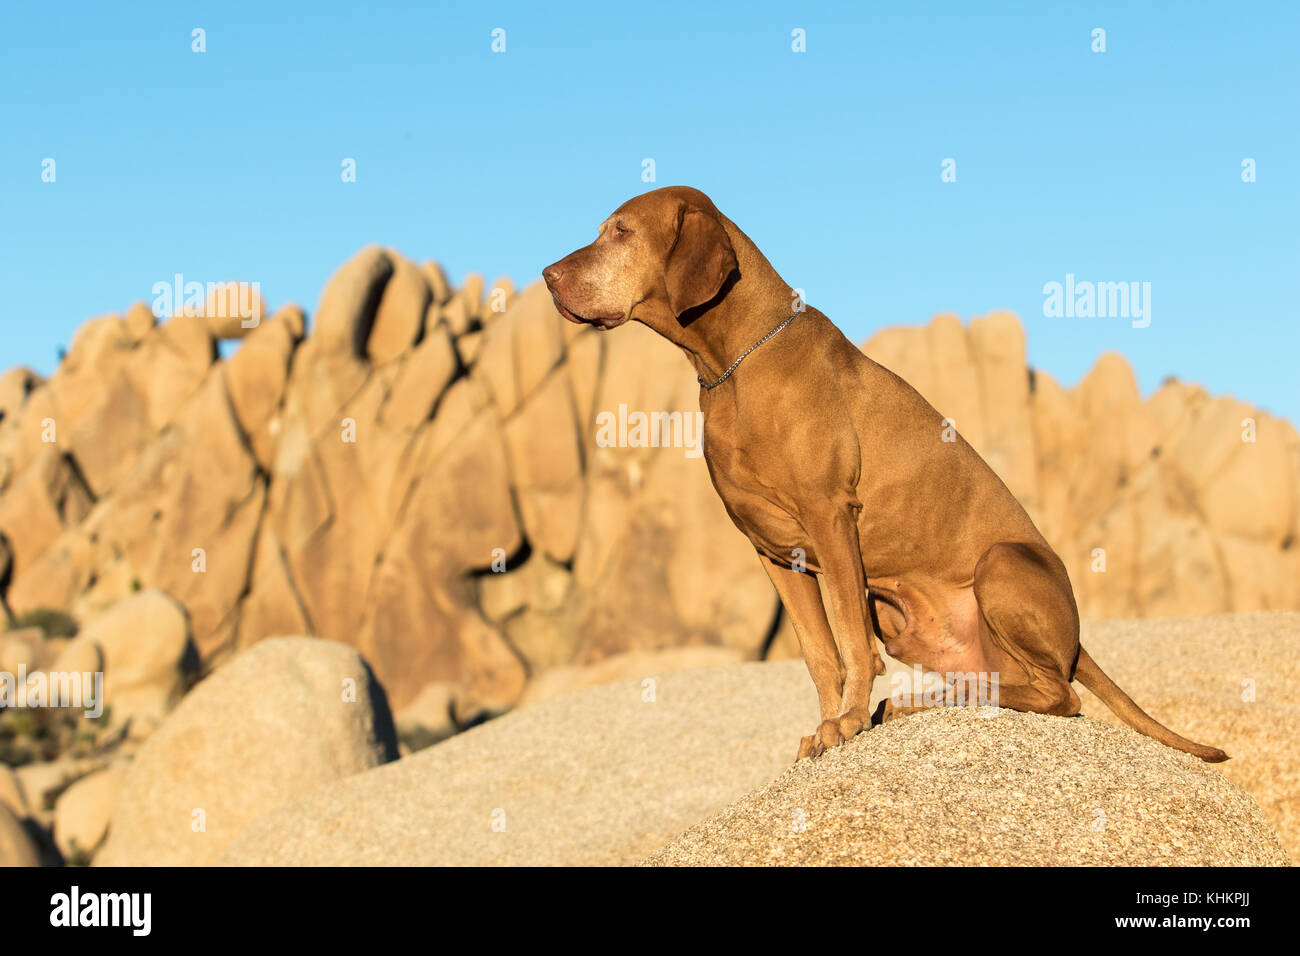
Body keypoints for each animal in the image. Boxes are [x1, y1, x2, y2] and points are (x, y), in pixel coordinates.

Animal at [540, 184, 1227, 764]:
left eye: (622, 231)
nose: (547, 276)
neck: (732, 367)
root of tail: (1078, 637)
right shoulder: (772, 552)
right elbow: (819, 654)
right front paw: (827, 726)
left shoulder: (830, 518)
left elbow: (848, 639)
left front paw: (843, 722)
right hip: (915, 629)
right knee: (1015, 686)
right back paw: (915, 705)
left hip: (1000, 564)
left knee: (1063, 696)